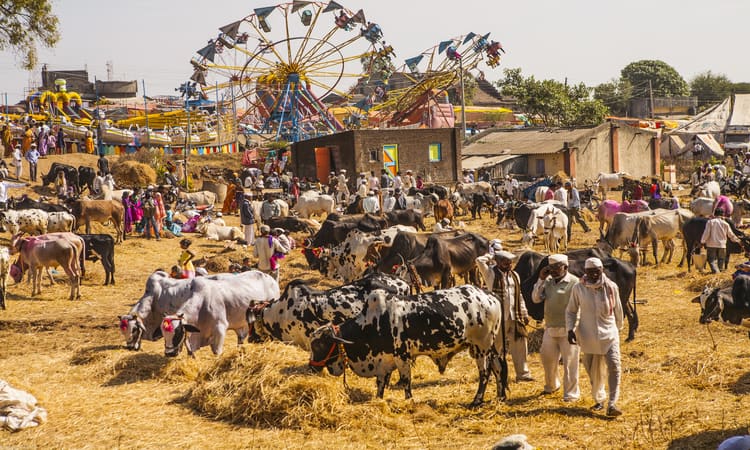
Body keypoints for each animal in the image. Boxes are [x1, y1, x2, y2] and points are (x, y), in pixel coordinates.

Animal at [308, 284, 508, 408]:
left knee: (485, 373)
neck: (373, 323)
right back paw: (500, 397)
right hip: (491, 348)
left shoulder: (402, 357)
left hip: (481, 348)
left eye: (319, 345)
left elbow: (406, 381)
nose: (311, 367)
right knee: (498, 368)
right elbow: (381, 384)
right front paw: (378, 400)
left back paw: (477, 401)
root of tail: (490, 295)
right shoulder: (385, 361)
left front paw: (409, 401)